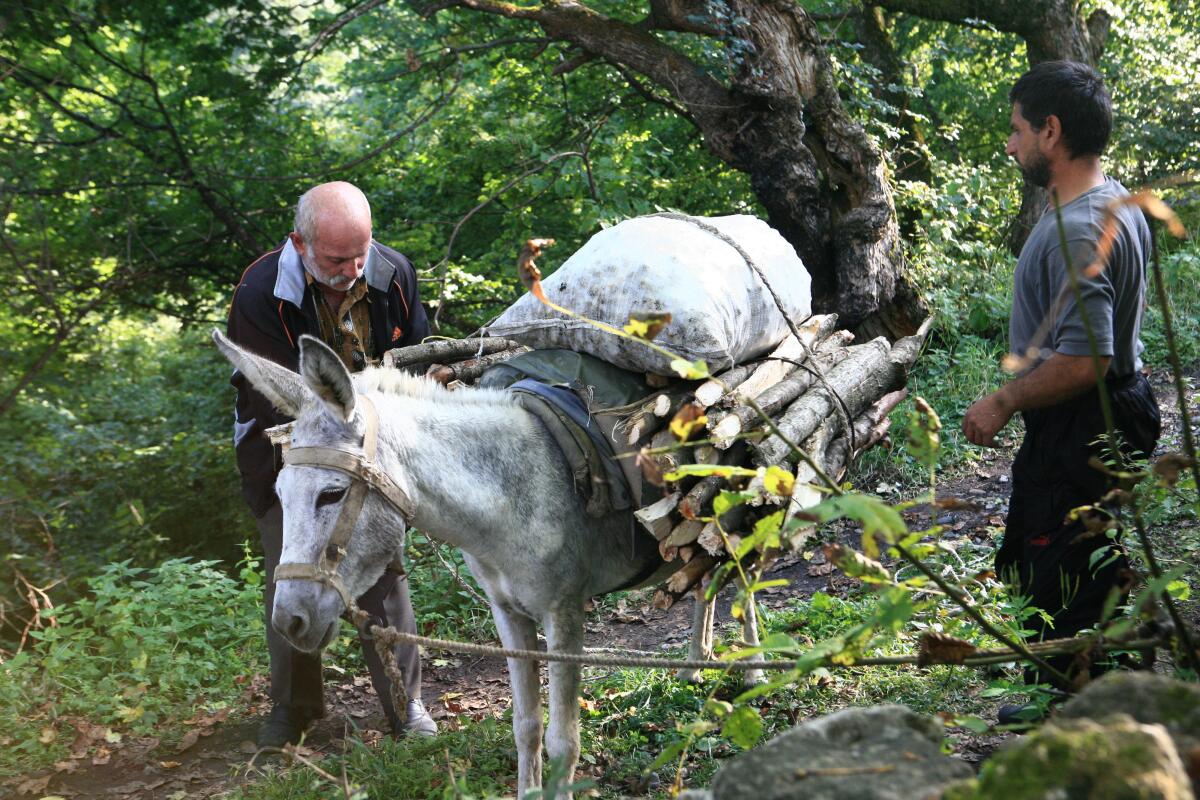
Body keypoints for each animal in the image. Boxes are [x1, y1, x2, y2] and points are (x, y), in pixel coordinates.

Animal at [214, 329, 679, 795]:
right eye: (279, 493)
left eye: (331, 494)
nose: (287, 622)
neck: (512, 489)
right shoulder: (507, 611)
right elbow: (526, 725)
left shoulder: (563, 613)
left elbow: (564, 741)